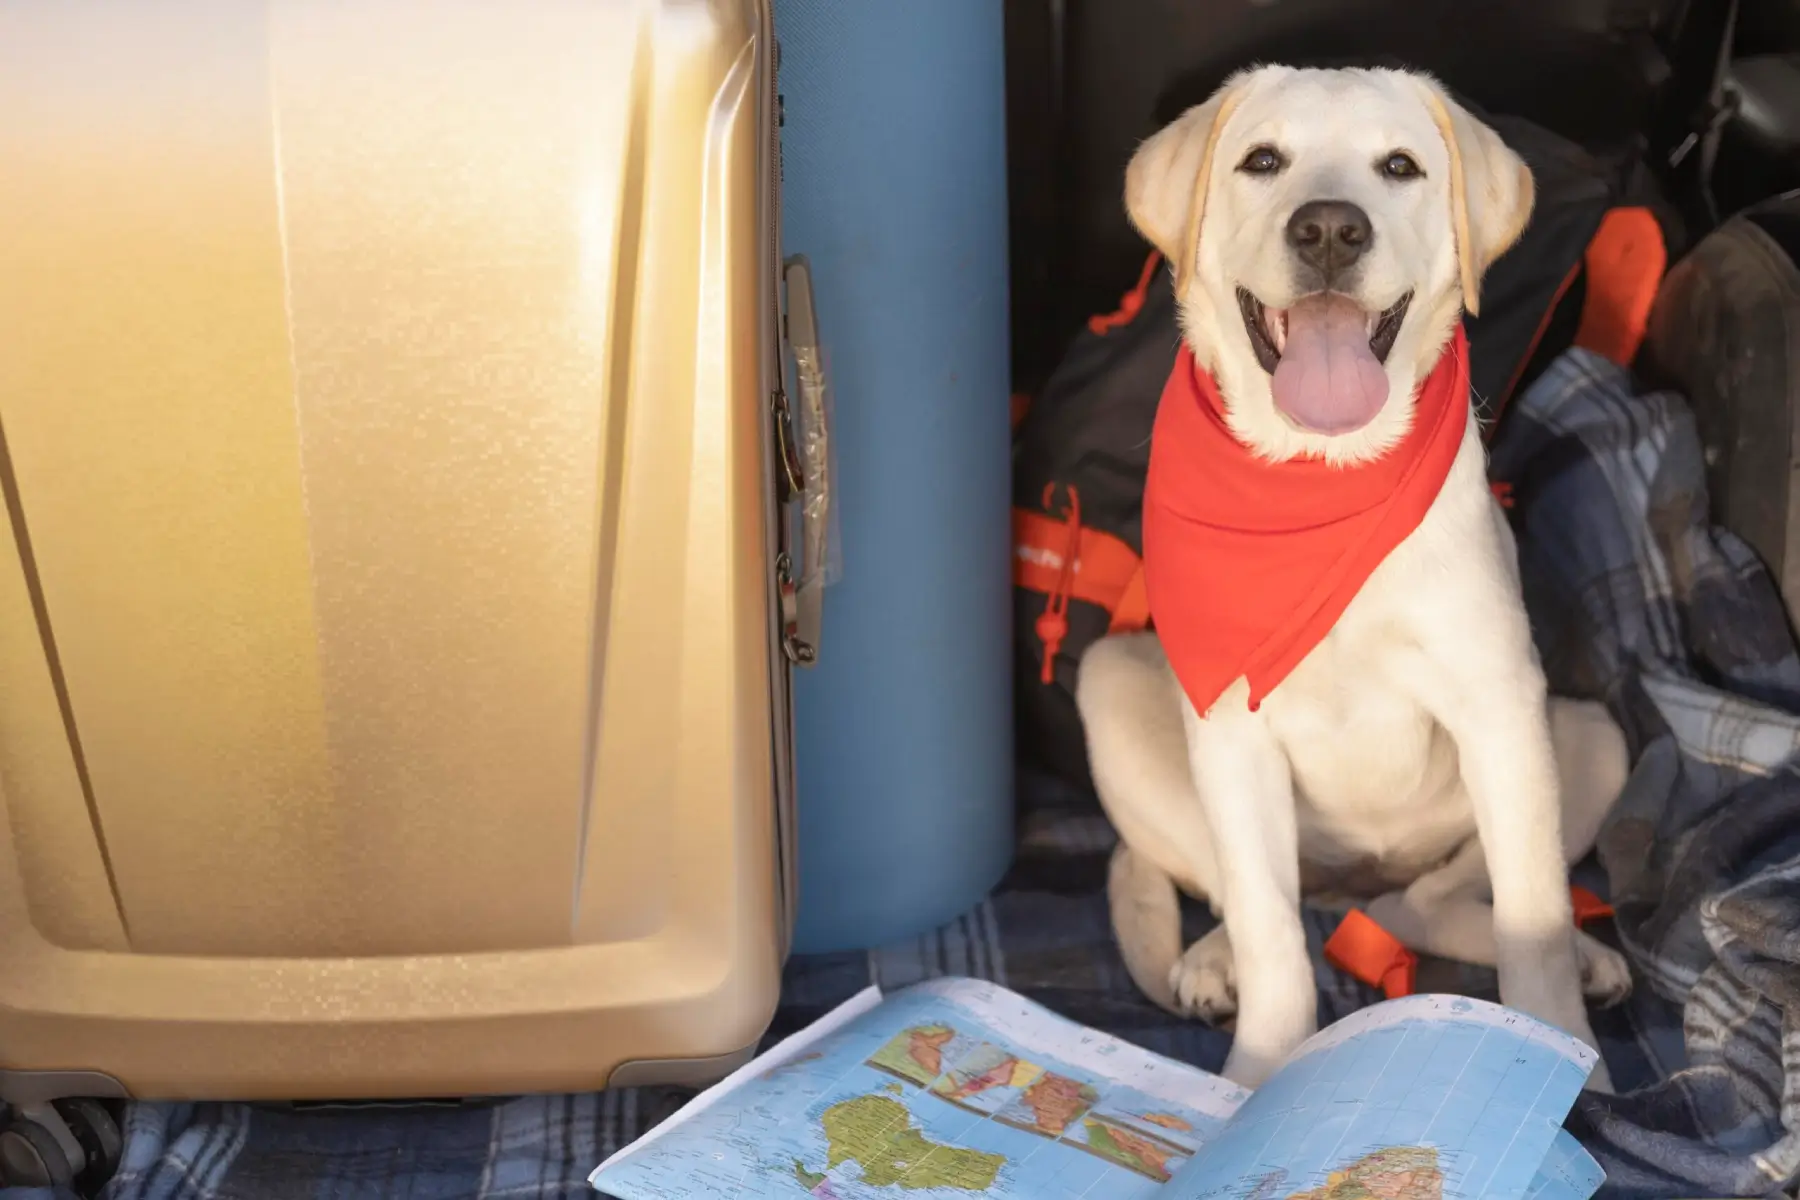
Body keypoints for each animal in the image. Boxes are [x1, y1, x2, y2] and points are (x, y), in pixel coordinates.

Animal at [1080, 70, 1634, 1093]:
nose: (1331, 229)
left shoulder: (1501, 709)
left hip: (1588, 740)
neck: (1321, 475)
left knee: (1427, 904)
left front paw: (1568, 1063)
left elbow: (1532, 921)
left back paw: (1581, 957)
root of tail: (1356, 884)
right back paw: (1211, 961)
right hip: (1115, 689)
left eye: (1400, 167)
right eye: (1262, 160)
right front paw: (1252, 1082)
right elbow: (1270, 934)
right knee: (1260, 902)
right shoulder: (1232, 730)